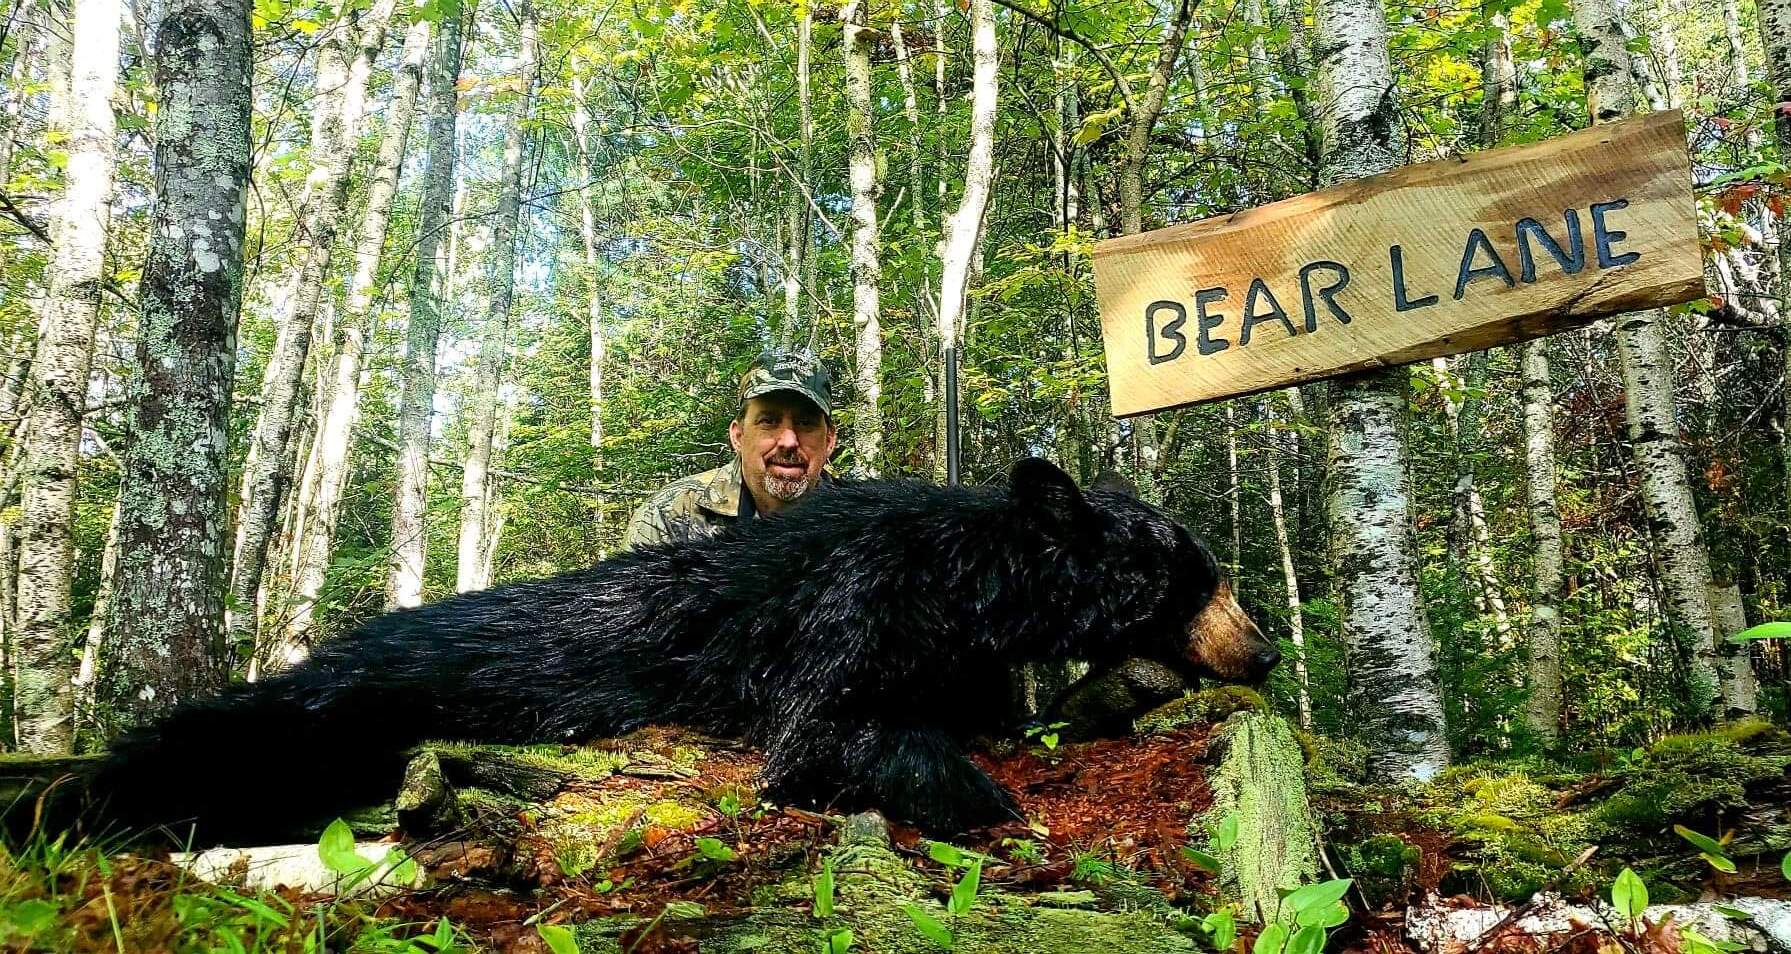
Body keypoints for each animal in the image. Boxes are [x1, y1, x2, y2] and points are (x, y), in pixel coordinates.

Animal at [83, 458, 1277, 844]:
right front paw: (981, 797)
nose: (1265, 653)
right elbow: (821, 732)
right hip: (341, 708)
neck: (966, 579)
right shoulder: (850, 606)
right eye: (1199, 571)